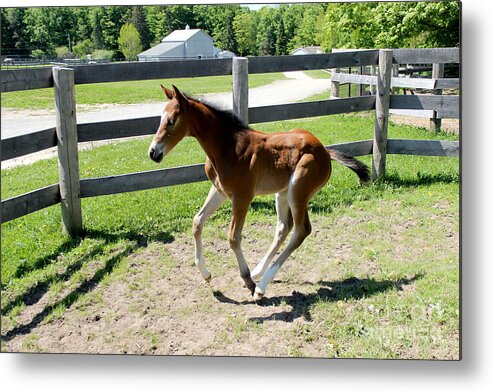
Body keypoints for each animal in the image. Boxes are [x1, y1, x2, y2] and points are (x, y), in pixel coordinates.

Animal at [148, 85, 368, 300]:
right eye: (160, 118)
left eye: (171, 121)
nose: (153, 152)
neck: (227, 147)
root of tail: (325, 150)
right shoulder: (220, 190)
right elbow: (197, 221)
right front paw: (206, 273)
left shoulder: (242, 196)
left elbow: (233, 237)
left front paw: (247, 281)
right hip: (283, 193)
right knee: (284, 227)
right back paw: (258, 272)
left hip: (298, 191)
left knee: (301, 230)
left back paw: (261, 285)